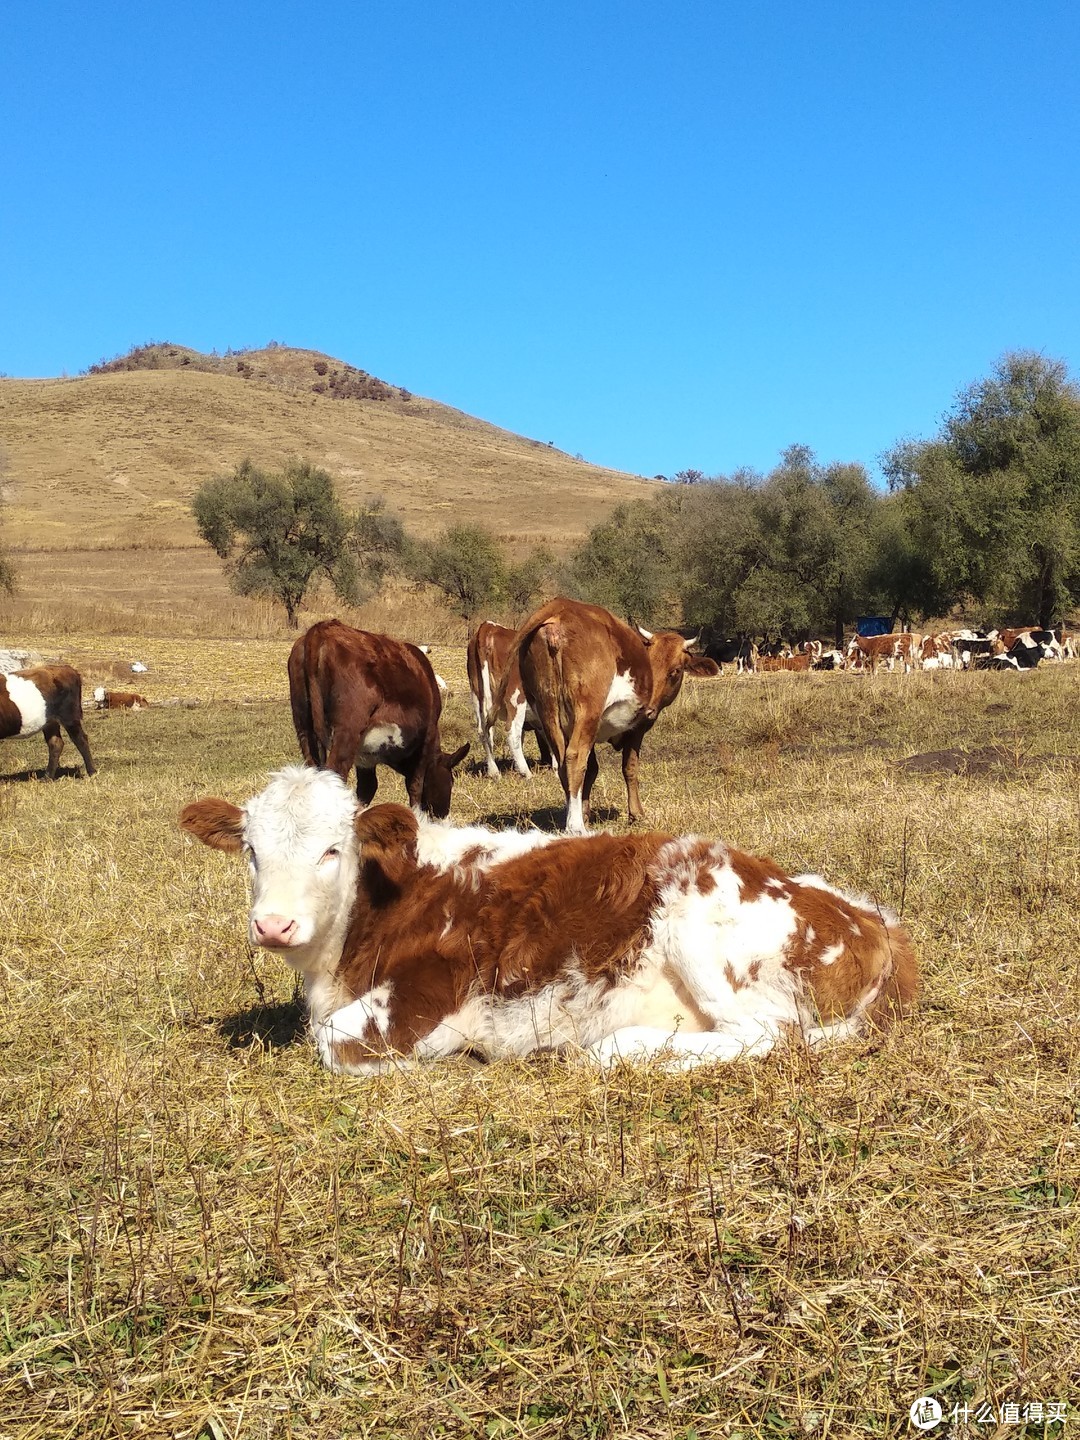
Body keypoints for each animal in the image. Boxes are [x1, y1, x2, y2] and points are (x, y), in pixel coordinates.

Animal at [180, 771, 921, 1077]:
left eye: (333, 850)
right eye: (251, 850)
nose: (273, 924)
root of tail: (875, 919)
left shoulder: (431, 989)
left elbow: (335, 1041)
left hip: (700, 926)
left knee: (771, 1038)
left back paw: (613, 1049)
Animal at [288, 619, 469, 823]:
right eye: (451, 781)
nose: (443, 814)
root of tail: (323, 628)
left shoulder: (366, 756)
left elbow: (367, 789)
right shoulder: (427, 737)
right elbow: (415, 785)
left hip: (304, 728)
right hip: (347, 731)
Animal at [466, 619, 552, 777]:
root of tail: (489, 627)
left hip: (477, 694)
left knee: (484, 731)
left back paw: (494, 772)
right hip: (516, 697)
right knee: (512, 732)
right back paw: (527, 773)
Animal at [498, 601, 720, 840]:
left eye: (674, 671)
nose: (650, 710)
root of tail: (561, 608)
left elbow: (592, 770)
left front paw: (585, 810)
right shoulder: (635, 729)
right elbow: (629, 768)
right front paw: (636, 814)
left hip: (548, 709)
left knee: (563, 762)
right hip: (587, 711)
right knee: (574, 758)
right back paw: (575, 825)